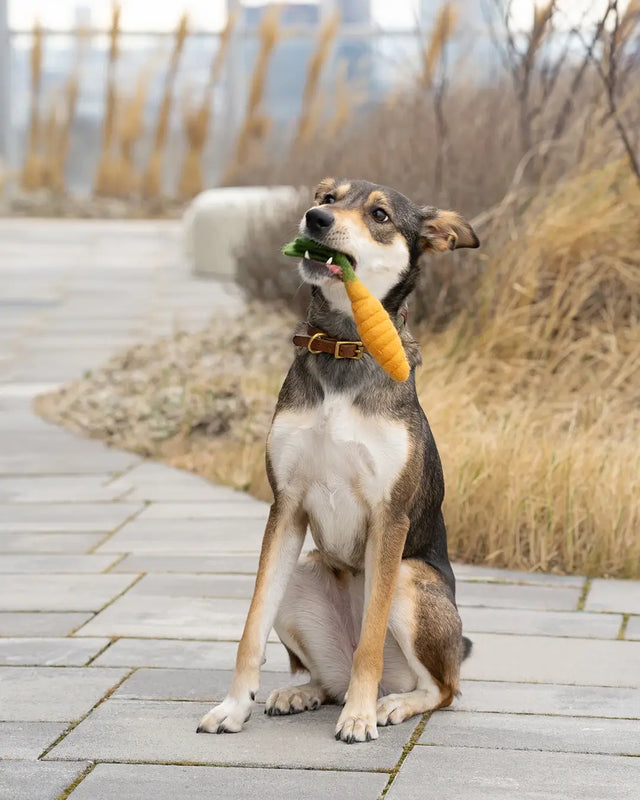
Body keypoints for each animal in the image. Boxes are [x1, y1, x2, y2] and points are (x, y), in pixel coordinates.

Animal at [198, 177, 478, 744]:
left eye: (380, 215)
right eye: (326, 196)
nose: (316, 220)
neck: (345, 345)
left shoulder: (390, 518)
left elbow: (370, 642)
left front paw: (359, 717)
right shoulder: (285, 507)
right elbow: (252, 626)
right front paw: (234, 707)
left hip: (410, 581)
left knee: (441, 688)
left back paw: (390, 704)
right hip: (303, 570)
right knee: (327, 678)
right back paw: (301, 692)